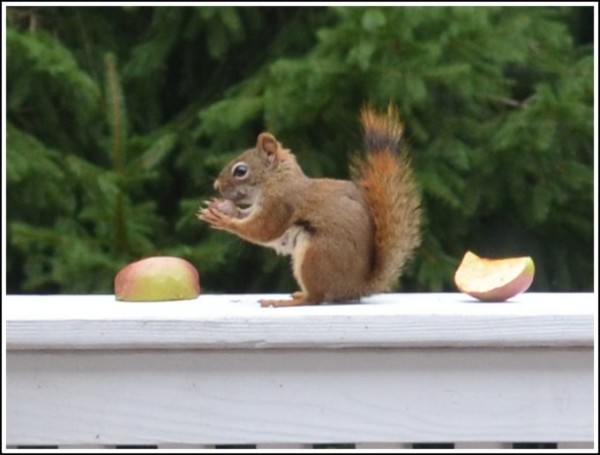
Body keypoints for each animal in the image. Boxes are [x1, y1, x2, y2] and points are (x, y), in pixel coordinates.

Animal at [198, 105, 422, 308]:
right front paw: (223, 209)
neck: (277, 179)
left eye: (240, 171)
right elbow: (245, 215)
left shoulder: (281, 204)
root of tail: (356, 287)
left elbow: (262, 230)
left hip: (315, 256)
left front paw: (224, 220)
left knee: (315, 298)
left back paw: (285, 301)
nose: (216, 186)